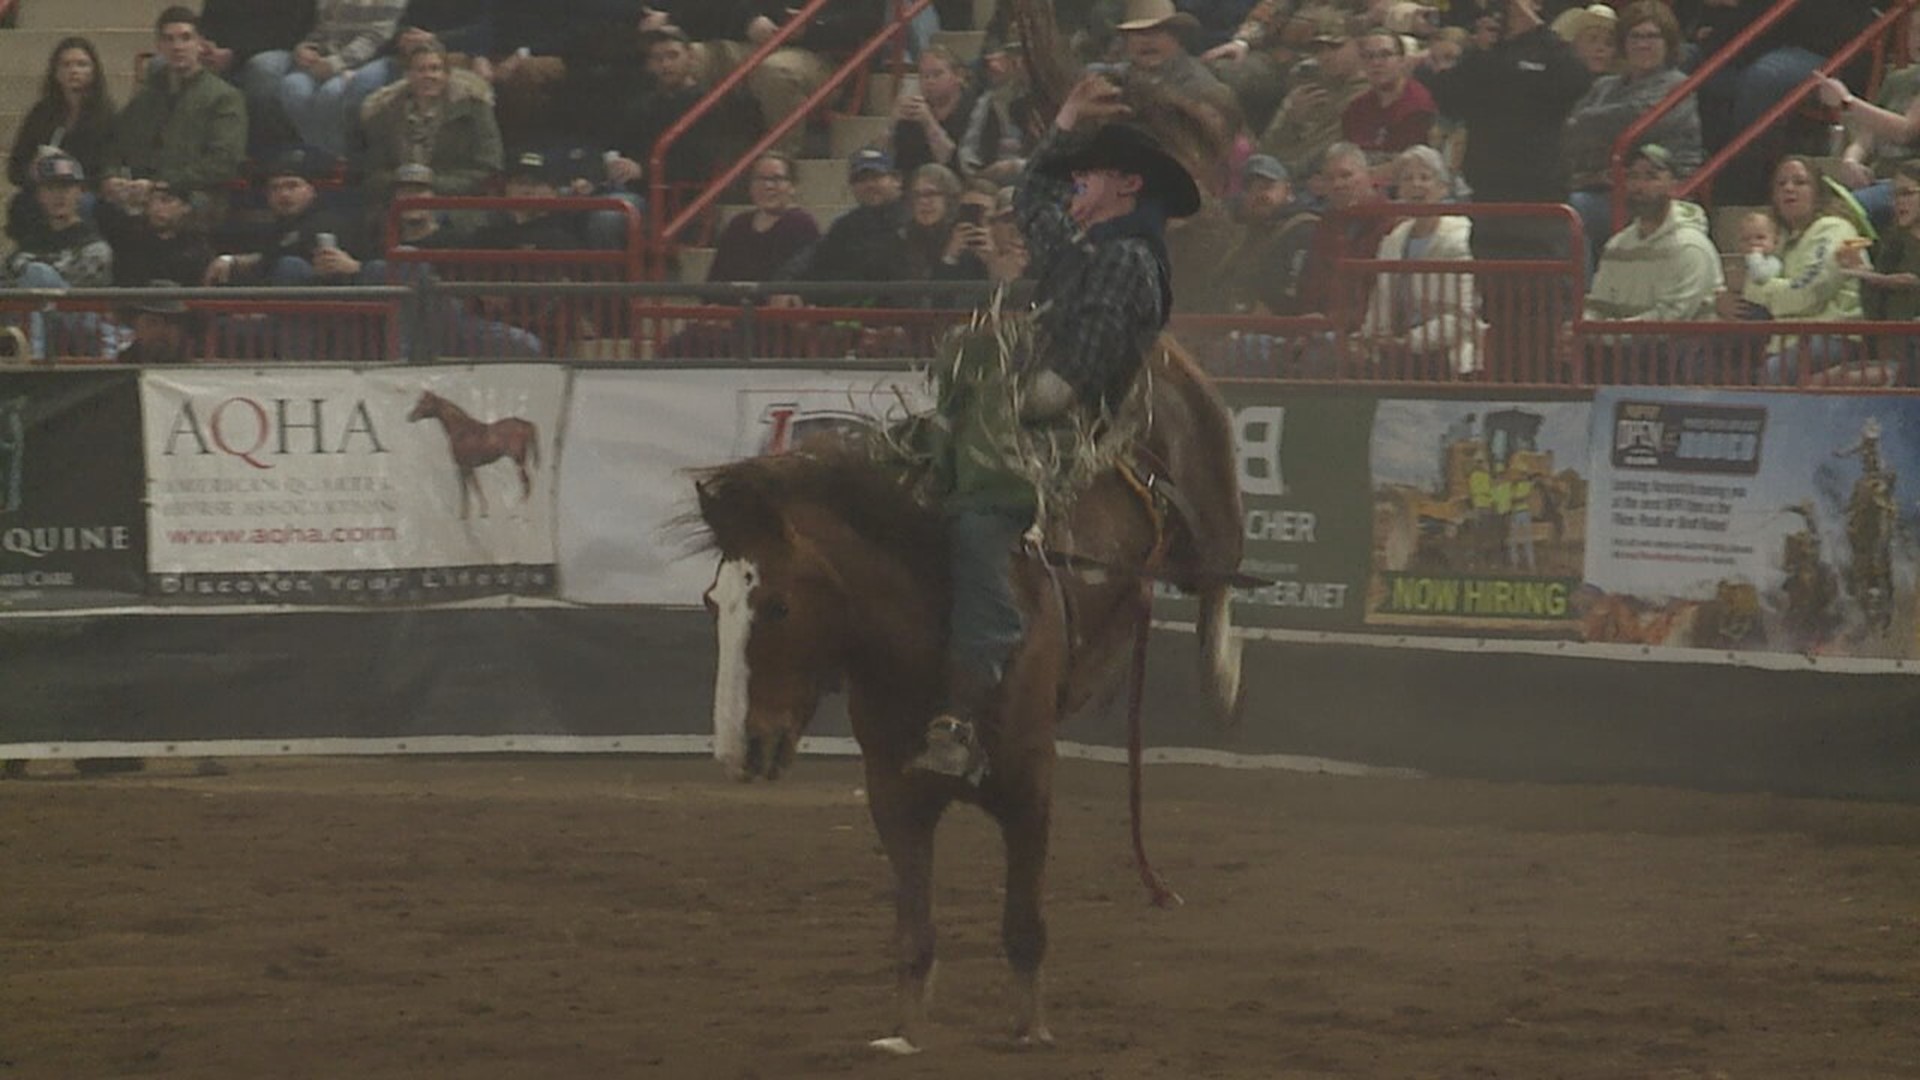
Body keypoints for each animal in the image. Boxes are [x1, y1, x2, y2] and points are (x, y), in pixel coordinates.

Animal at [405, 390, 541, 518]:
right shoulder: (468, 466)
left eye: (424, 402)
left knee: (527, 484)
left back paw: (518, 511)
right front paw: (481, 511)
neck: (461, 430)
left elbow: (466, 489)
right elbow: (474, 486)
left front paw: (467, 514)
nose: (410, 416)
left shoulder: (463, 466)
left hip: (518, 461)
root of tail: (527, 425)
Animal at [691, 338, 1244, 1053]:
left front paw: (1032, 1030)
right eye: (714, 603)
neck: (936, 628)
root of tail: (1163, 351)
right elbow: (914, 933)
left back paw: (1222, 677)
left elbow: (1023, 926)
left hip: (1211, 498)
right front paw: (904, 1032)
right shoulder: (894, 797)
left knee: (1220, 573)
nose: (740, 749)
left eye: (779, 606)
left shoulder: (1029, 788)